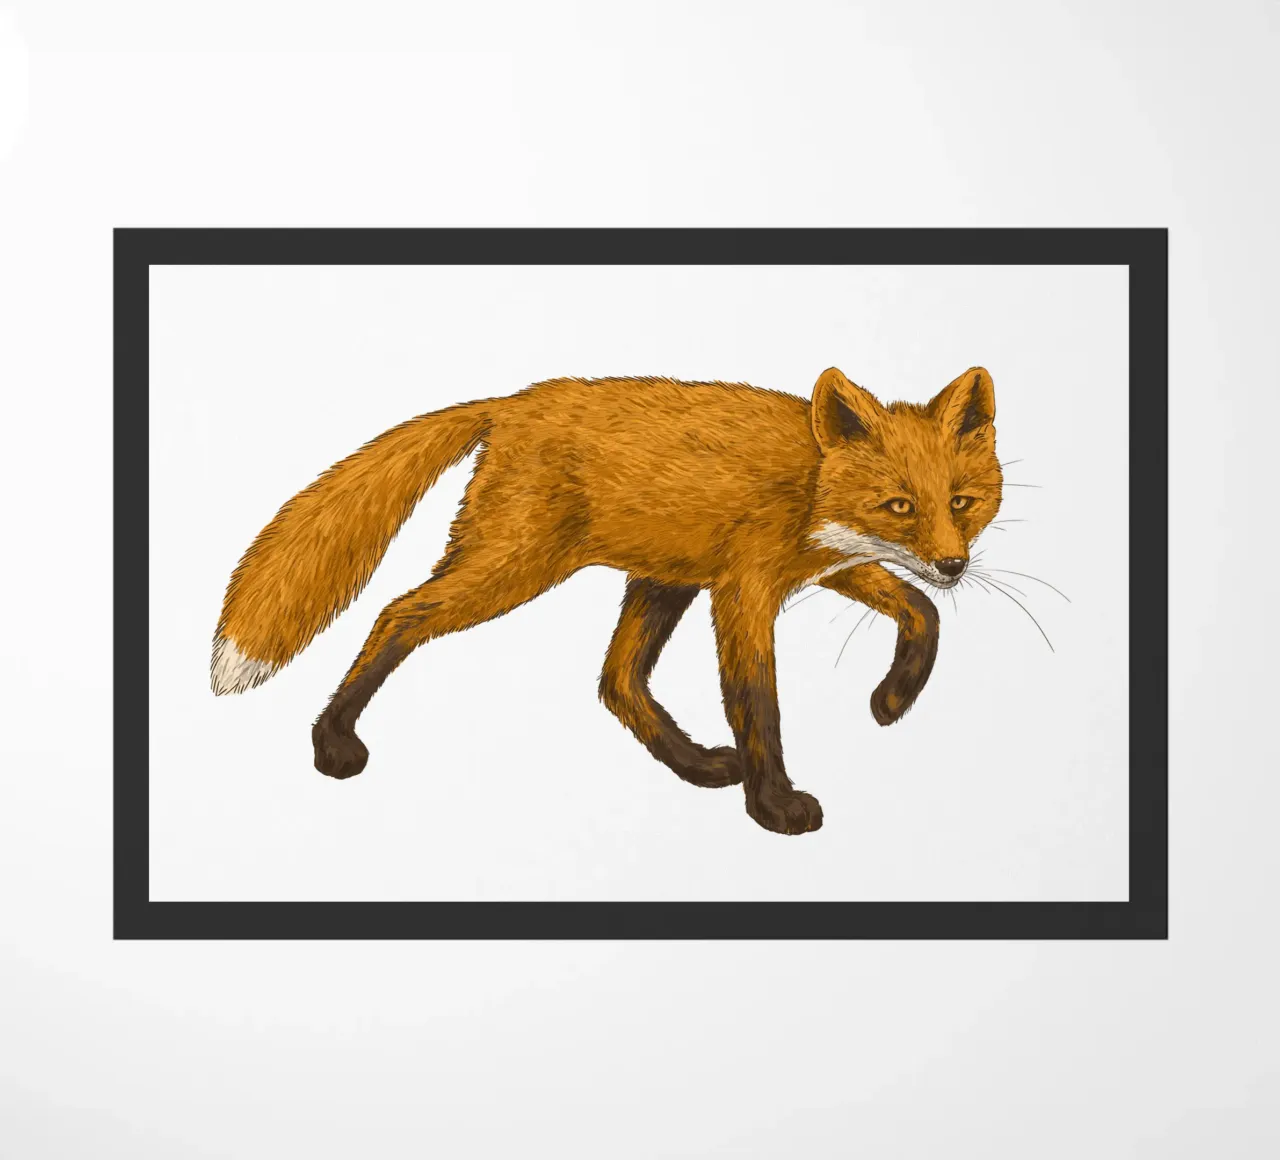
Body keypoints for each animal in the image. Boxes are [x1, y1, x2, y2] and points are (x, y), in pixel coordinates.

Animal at [212, 366, 1002, 835]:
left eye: (962, 503)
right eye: (899, 505)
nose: (954, 564)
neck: (809, 479)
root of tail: (506, 403)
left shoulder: (822, 564)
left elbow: (922, 611)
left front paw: (893, 699)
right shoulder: (744, 590)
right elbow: (757, 701)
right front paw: (775, 805)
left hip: (659, 579)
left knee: (616, 681)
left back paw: (698, 766)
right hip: (517, 566)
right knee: (397, 612)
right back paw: (332, 740)